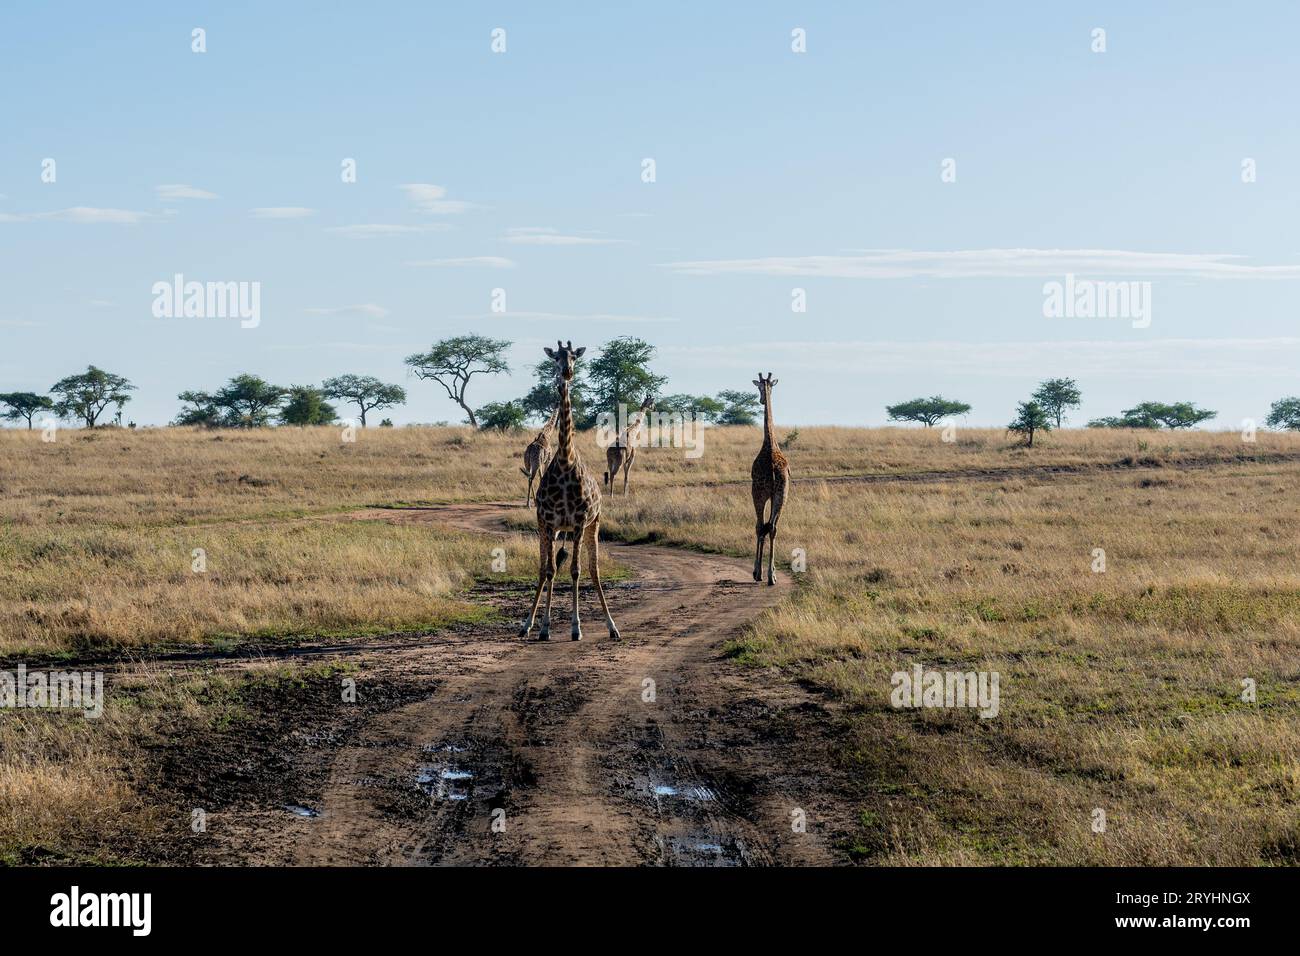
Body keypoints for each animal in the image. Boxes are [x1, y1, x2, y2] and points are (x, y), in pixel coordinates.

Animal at [517, 343, 618, 642]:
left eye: (574, 356)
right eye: (556, 357)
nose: (567, 372)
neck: (564, 460)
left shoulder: (581, 521)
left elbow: (576, 570)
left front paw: (576, 627)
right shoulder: (549, 522)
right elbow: (549, 570)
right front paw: (543, 627)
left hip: (593, 524)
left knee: (594, 570)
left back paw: (612, 627)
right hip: (551, 528)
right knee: (544, 569)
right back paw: (528, 625)